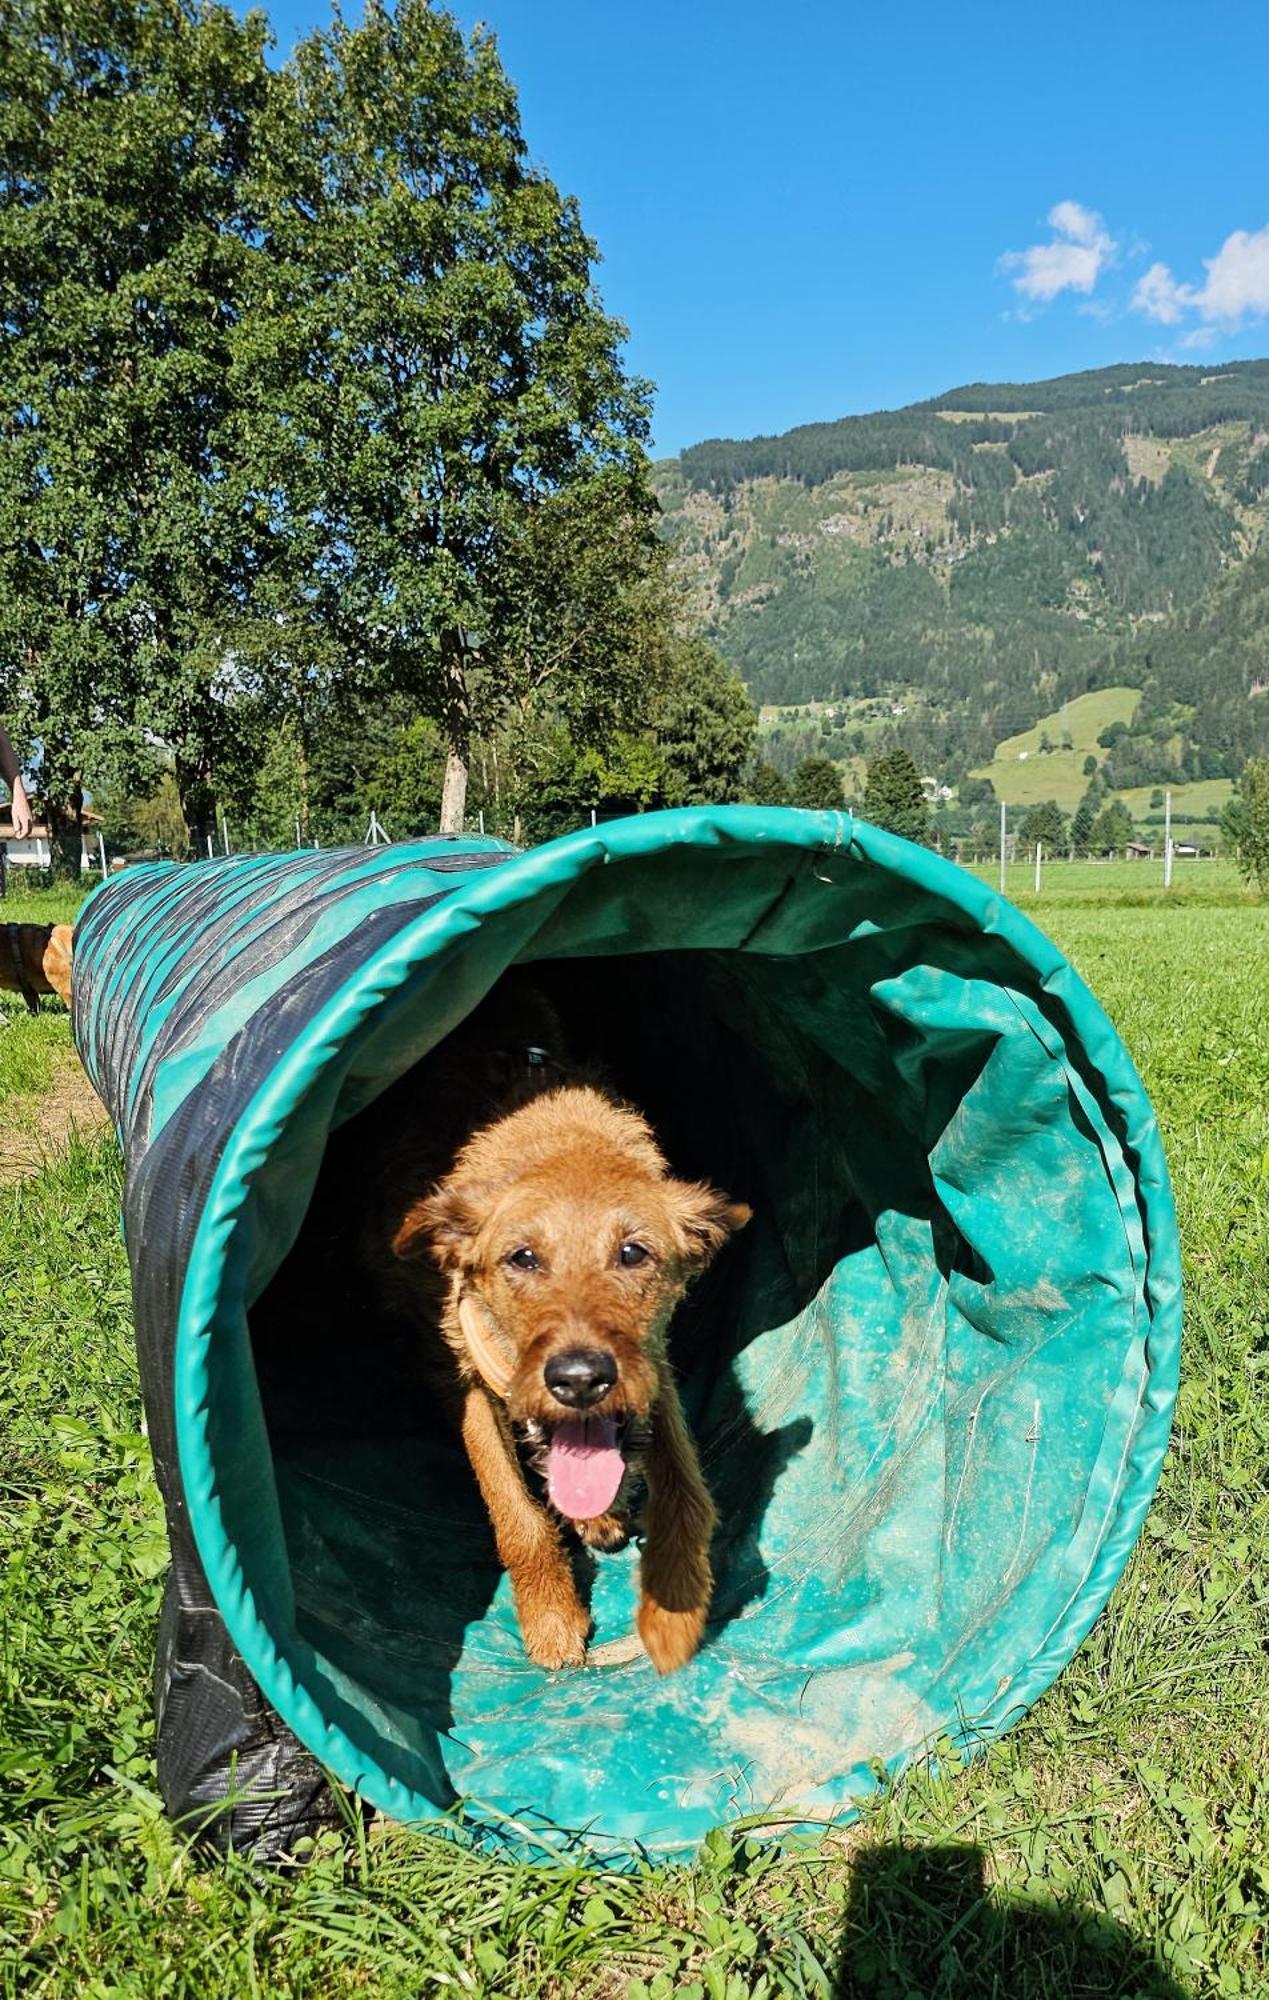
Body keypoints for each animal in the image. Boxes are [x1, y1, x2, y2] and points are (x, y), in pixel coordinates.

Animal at [350, 980, 744, 1672]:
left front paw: (672, 1609)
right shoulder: (469, 1383)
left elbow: (686, 1492)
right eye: (522, 1258)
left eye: (634, 1253)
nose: (581, 1379)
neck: (558, 1141)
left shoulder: (652, 1373)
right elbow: (515, 1512)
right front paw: (551, 1617)